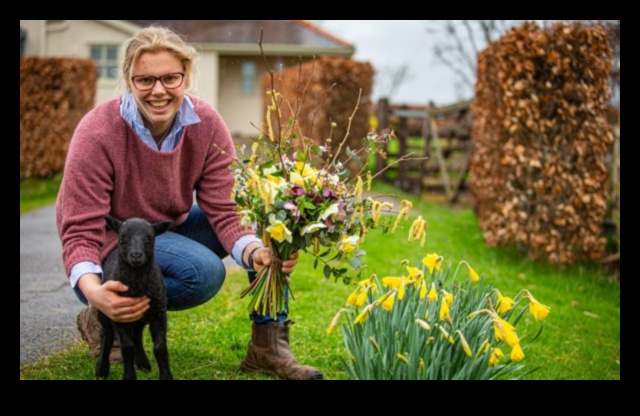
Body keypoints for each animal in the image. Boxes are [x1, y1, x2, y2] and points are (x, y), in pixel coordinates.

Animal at [96, 214, 174, 380]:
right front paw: (129, 376)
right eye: (122, 238)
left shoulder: (158, 312)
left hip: (139, 315)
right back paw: (101, 368)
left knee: (137, 335)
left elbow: (160, 347)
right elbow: (127, 346)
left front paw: (165, 376)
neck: (137, 283)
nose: (136, 255)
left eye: (150, 238)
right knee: (106, 335)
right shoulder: (118, 314)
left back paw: (143, 363)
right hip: (104, 310)